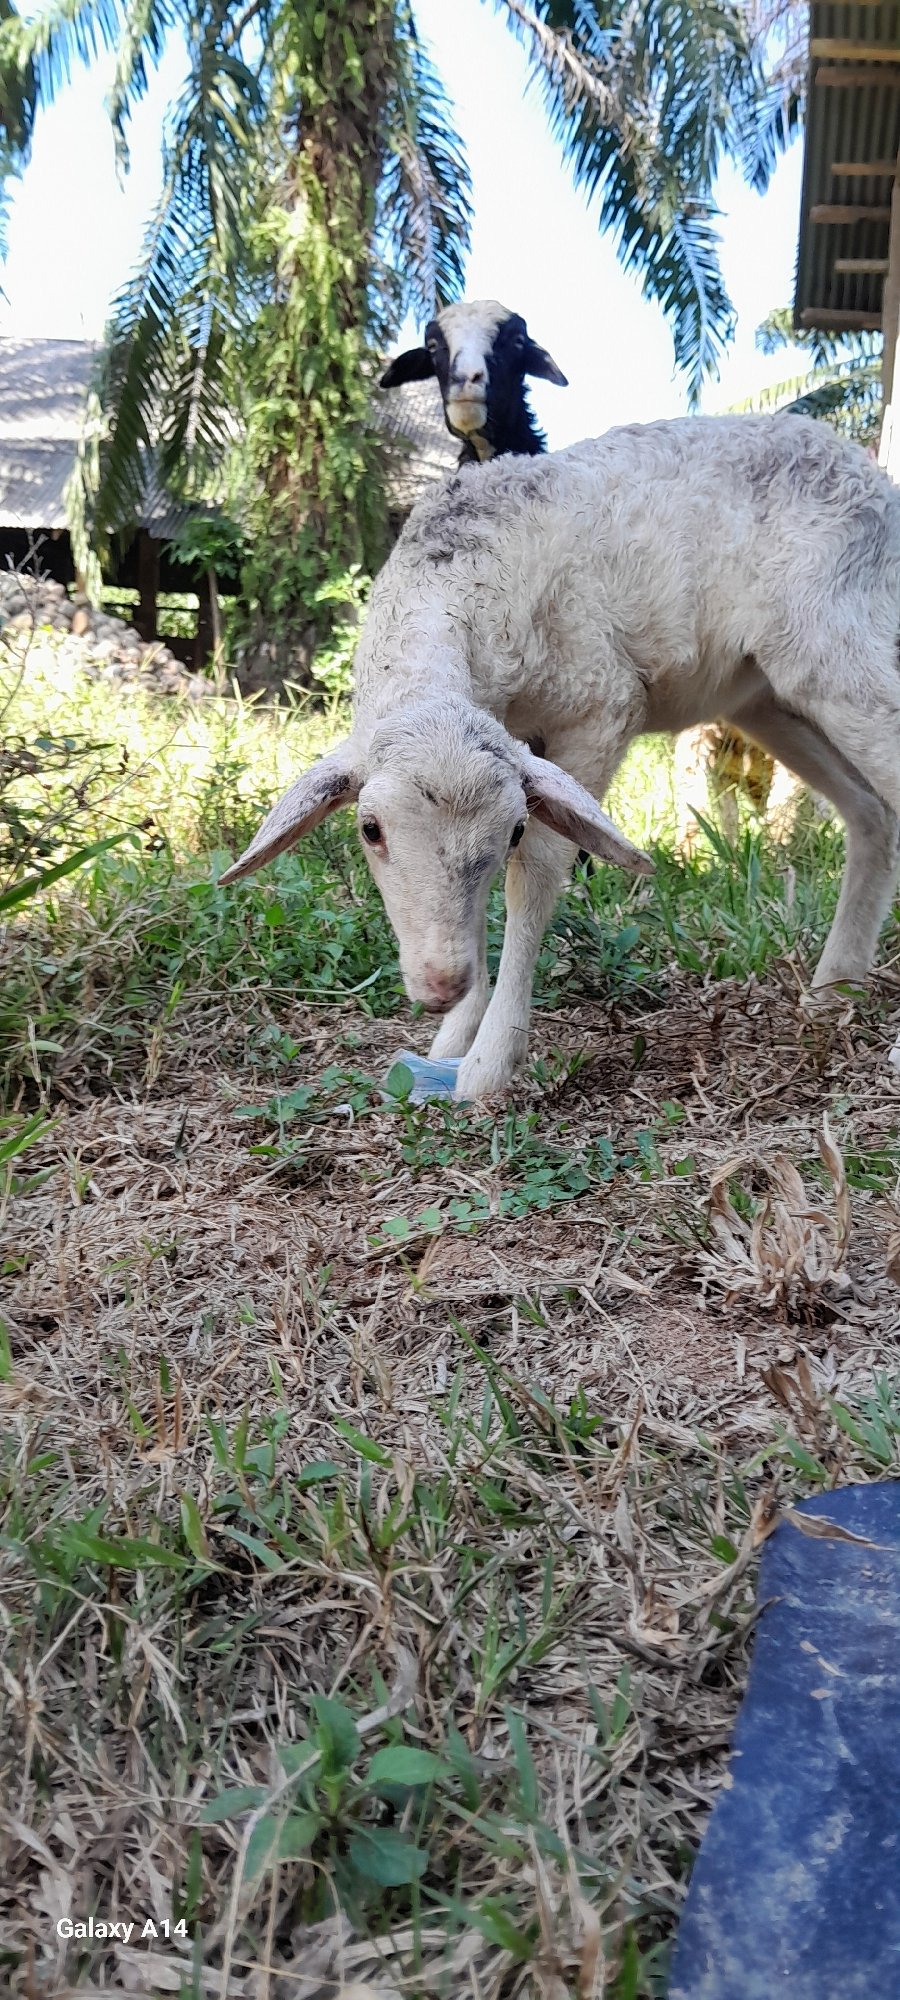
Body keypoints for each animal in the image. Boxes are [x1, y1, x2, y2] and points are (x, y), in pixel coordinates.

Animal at [221, 413, 900, 1104]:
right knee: (871, 812)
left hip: (839, 641)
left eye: (516, 829)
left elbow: (534, 877)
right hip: (769, 695)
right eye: (369, 829)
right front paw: (454, 1036)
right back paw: (834, 987)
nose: (440, 985)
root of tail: (868, 471)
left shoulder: (599, 708)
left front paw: (489, 1061)